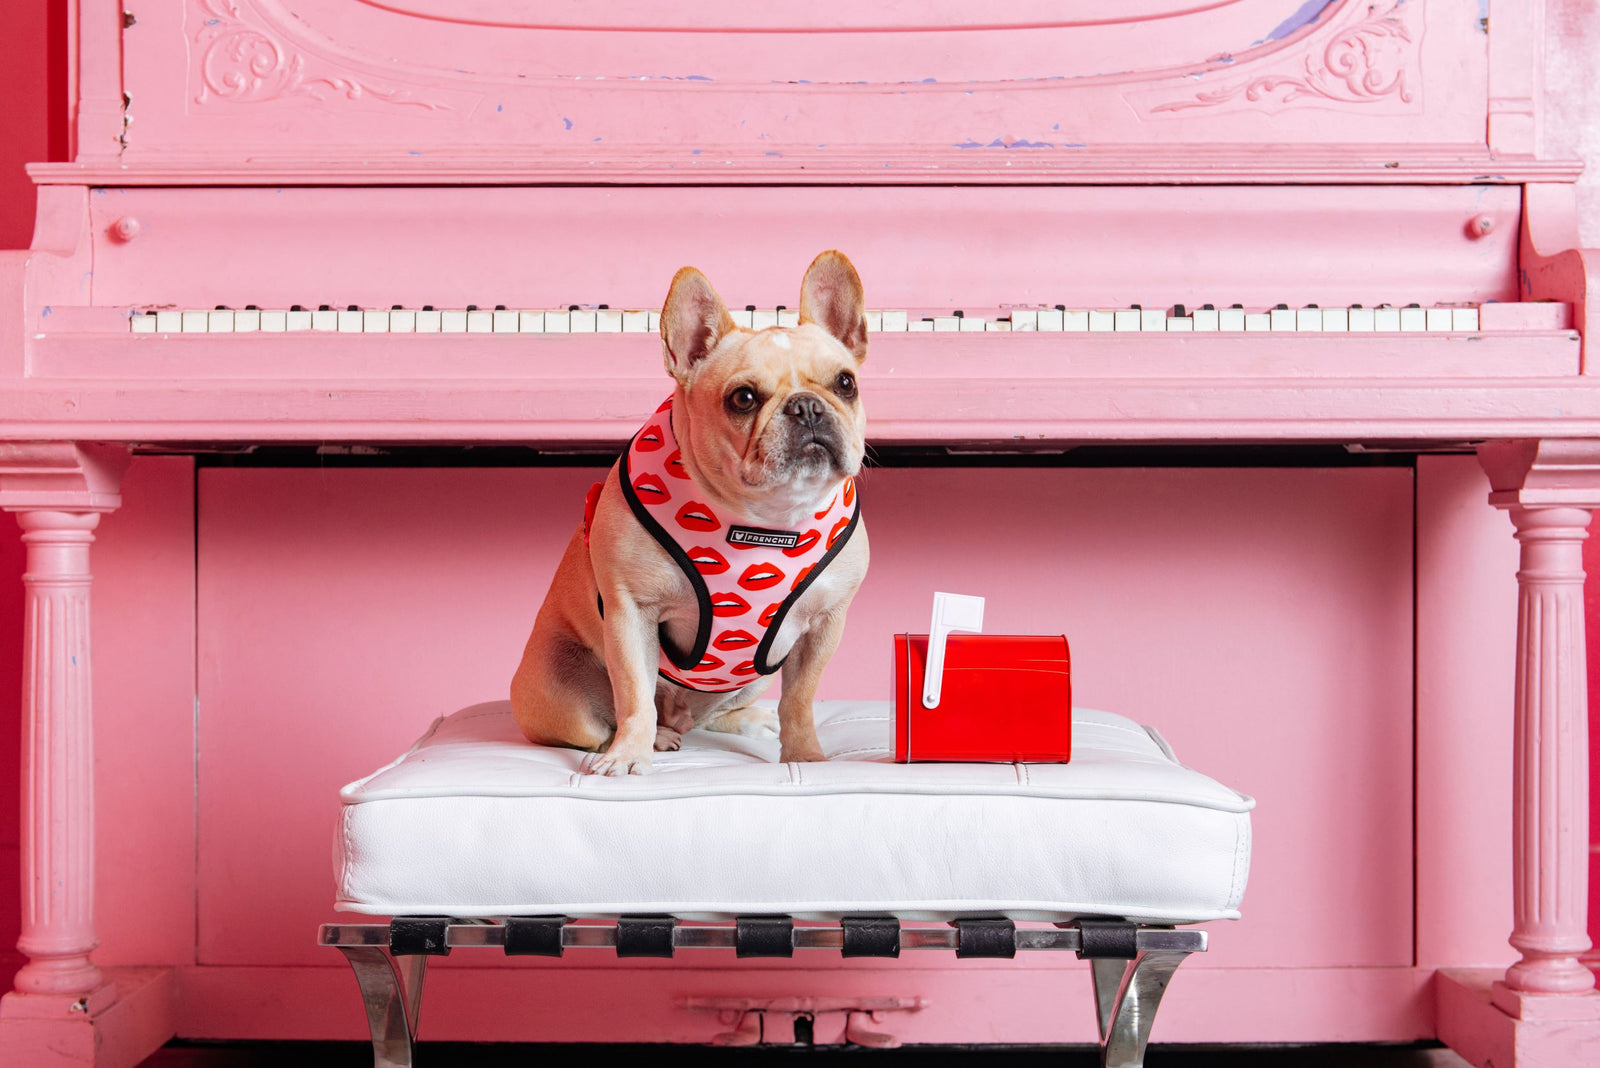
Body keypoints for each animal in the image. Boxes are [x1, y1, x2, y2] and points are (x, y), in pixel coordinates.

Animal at [511, 251, 871, 775]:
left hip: (758, 674)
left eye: (846, 383)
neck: (766, 516)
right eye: (743, 398)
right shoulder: (631, 614)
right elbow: (634, 693)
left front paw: (804, 755)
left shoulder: (824, 625)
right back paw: (650, 738)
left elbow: (800, 700)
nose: (806, 407)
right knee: (604, 724)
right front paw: (628, 756)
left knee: (718, 713)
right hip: (560, 691)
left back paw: (746, 719)